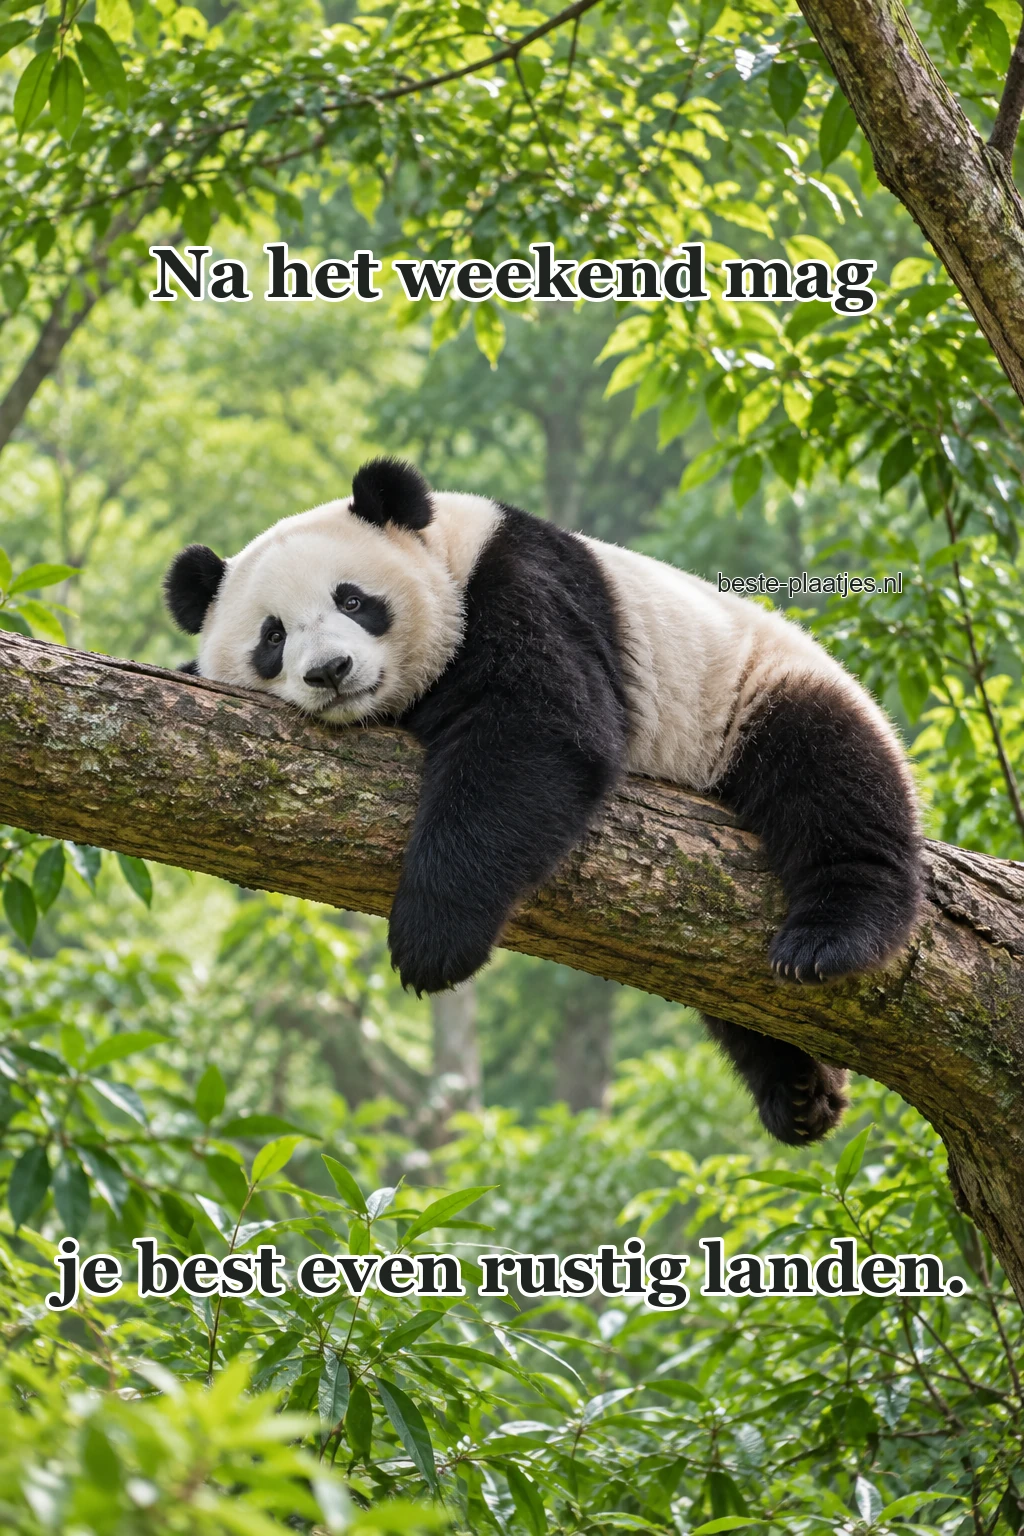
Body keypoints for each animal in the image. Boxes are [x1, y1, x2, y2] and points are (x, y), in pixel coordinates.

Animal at [165, 458, 922, 1146]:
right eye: (273, 636)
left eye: (353, 600)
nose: (330, 671)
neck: (451, 552)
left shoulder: (523, 587)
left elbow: (536, 733)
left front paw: (432, 944)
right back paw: (798, 1091)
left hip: (754, 692)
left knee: (831, 781)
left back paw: (829, 939)